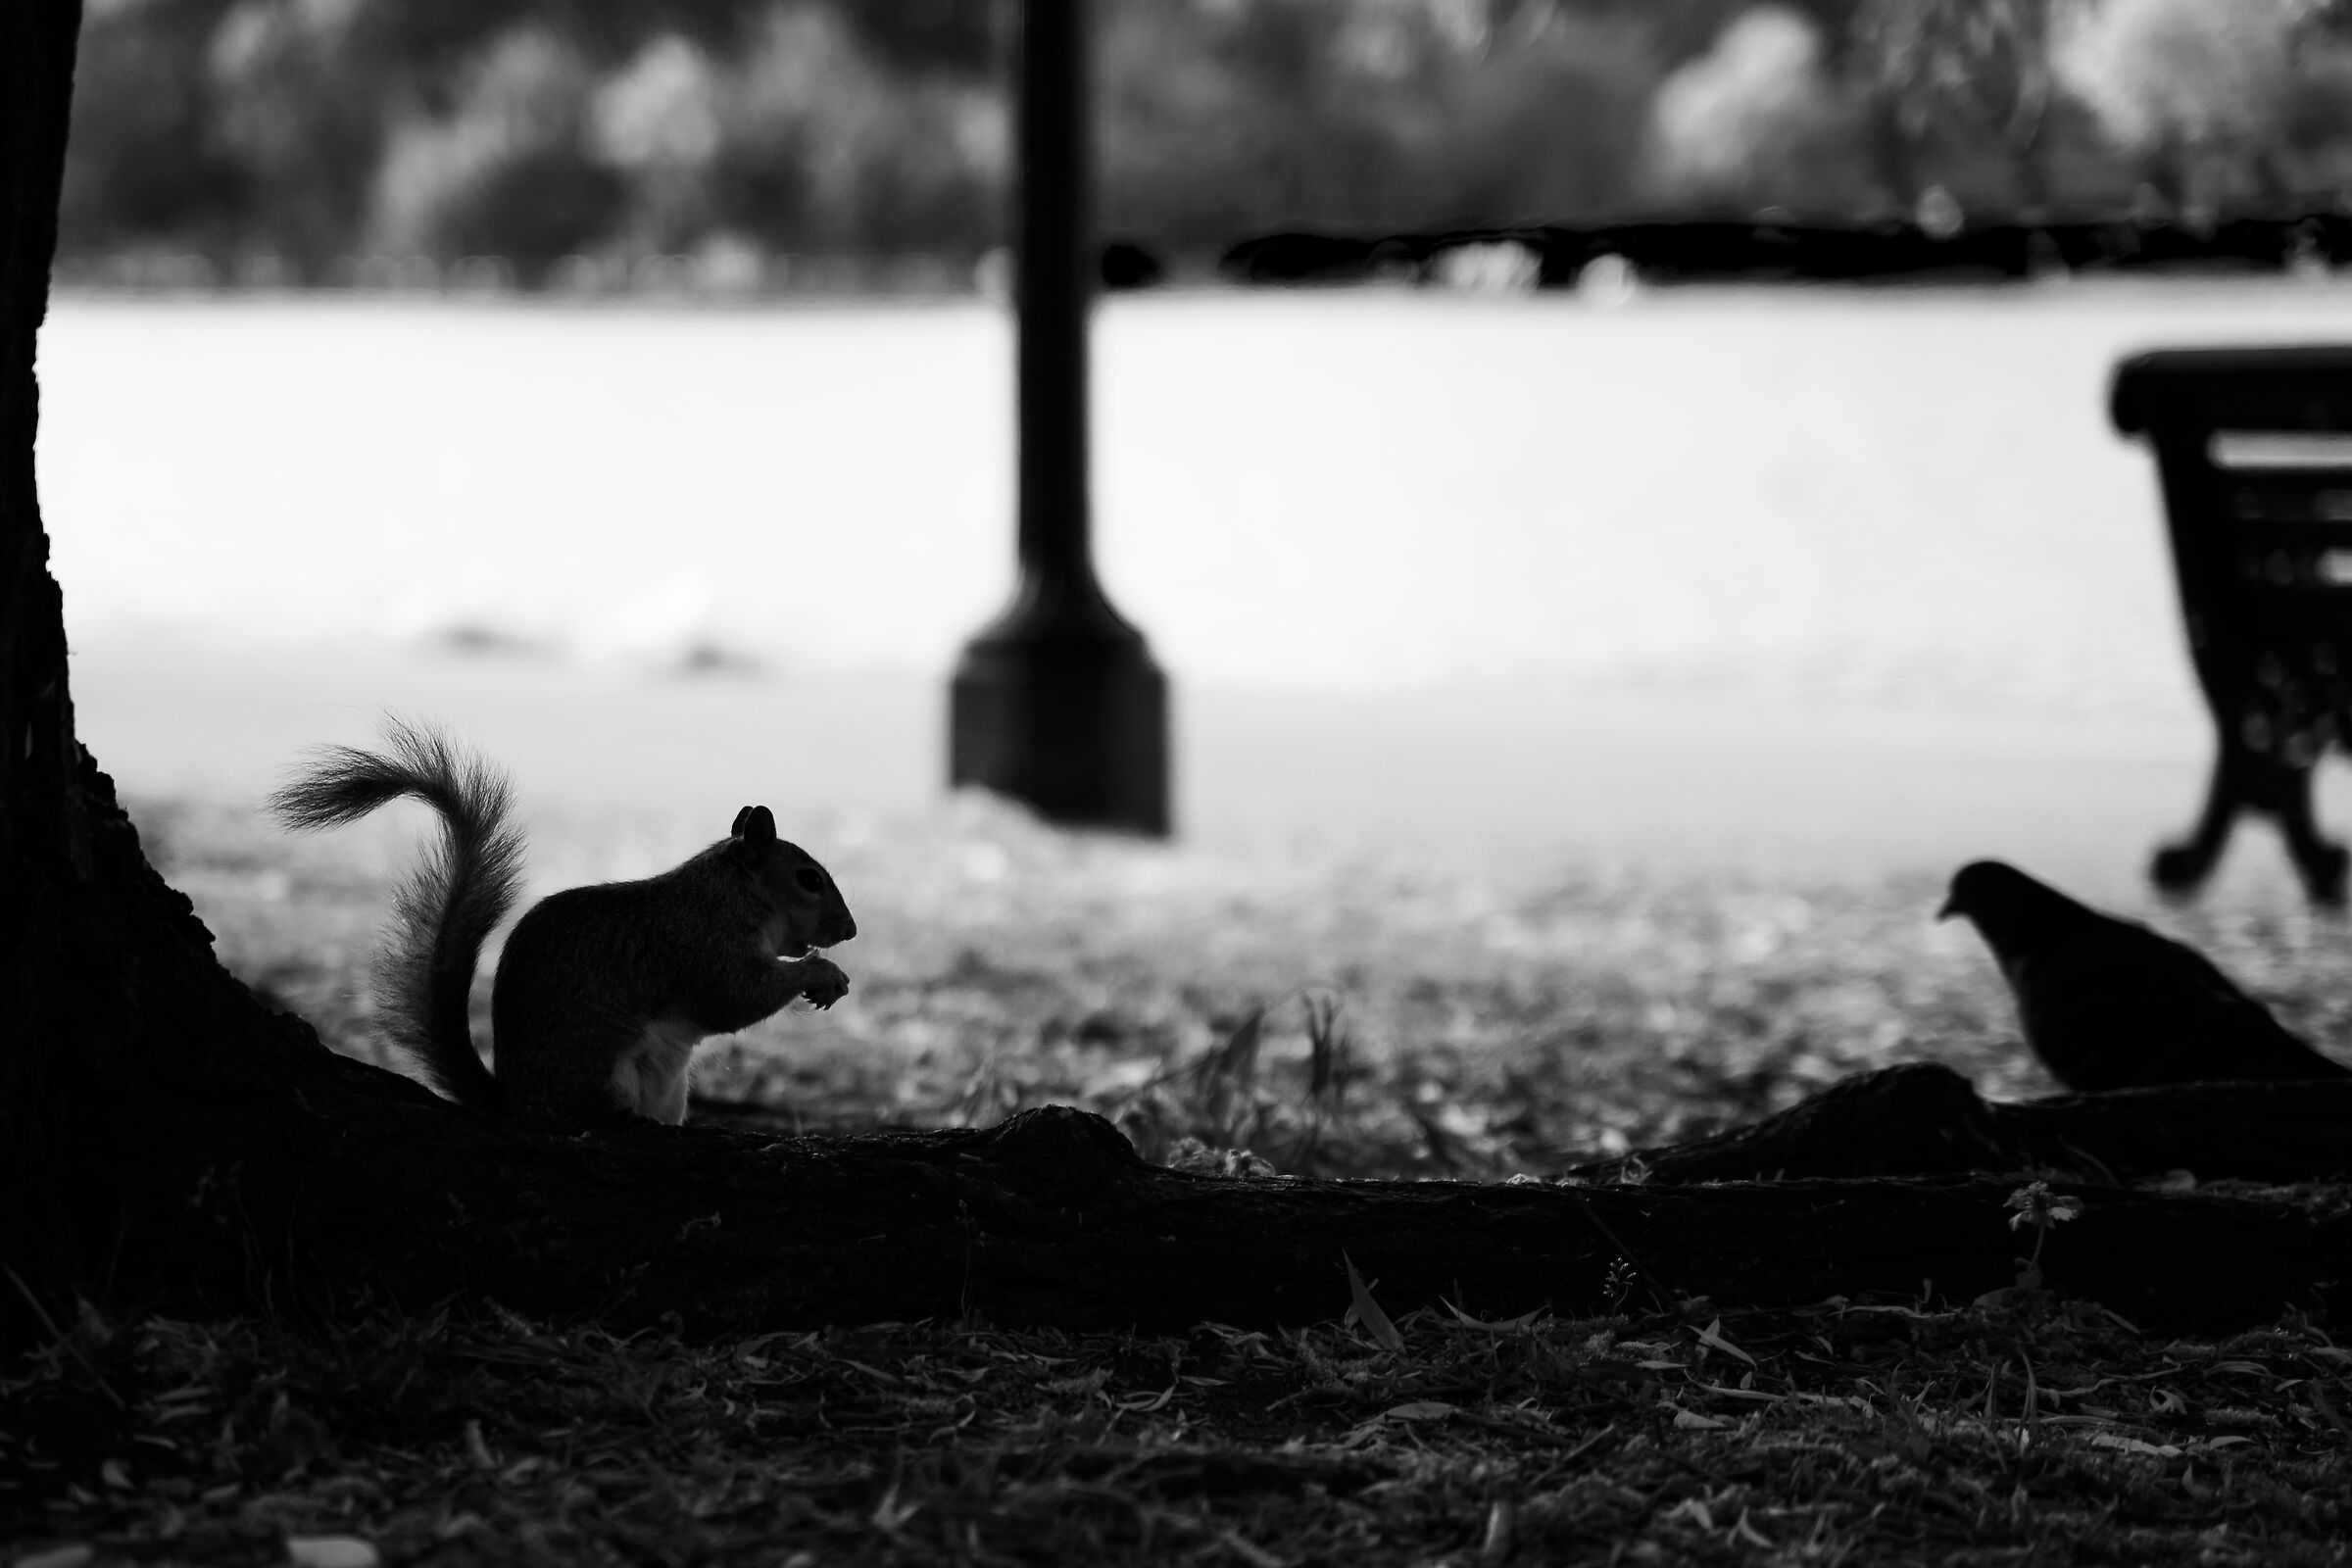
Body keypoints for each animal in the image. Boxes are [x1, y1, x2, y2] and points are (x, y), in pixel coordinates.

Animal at [269, 718, 855, 1125]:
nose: (849, 931)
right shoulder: (701, 944)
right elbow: (734, 996)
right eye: (809, 879)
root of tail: (516, 1104)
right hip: (601, 1073)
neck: (732, 894)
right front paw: (820, 973)